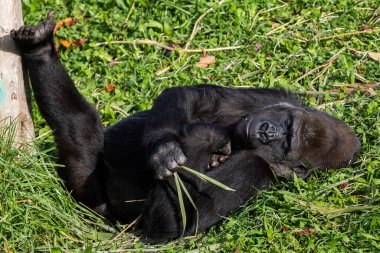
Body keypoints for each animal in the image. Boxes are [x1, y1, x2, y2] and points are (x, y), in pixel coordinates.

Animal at [10, 12, 360, 242]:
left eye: (286, 144)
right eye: (285, 125)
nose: (267, 132)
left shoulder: (258, 170)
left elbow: (175, 221)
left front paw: (207, 143)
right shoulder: (273, 98)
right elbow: (192, 95)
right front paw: (165, 150)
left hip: (99, 207)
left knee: (79, 130)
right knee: (80, 124)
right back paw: (40, 48)